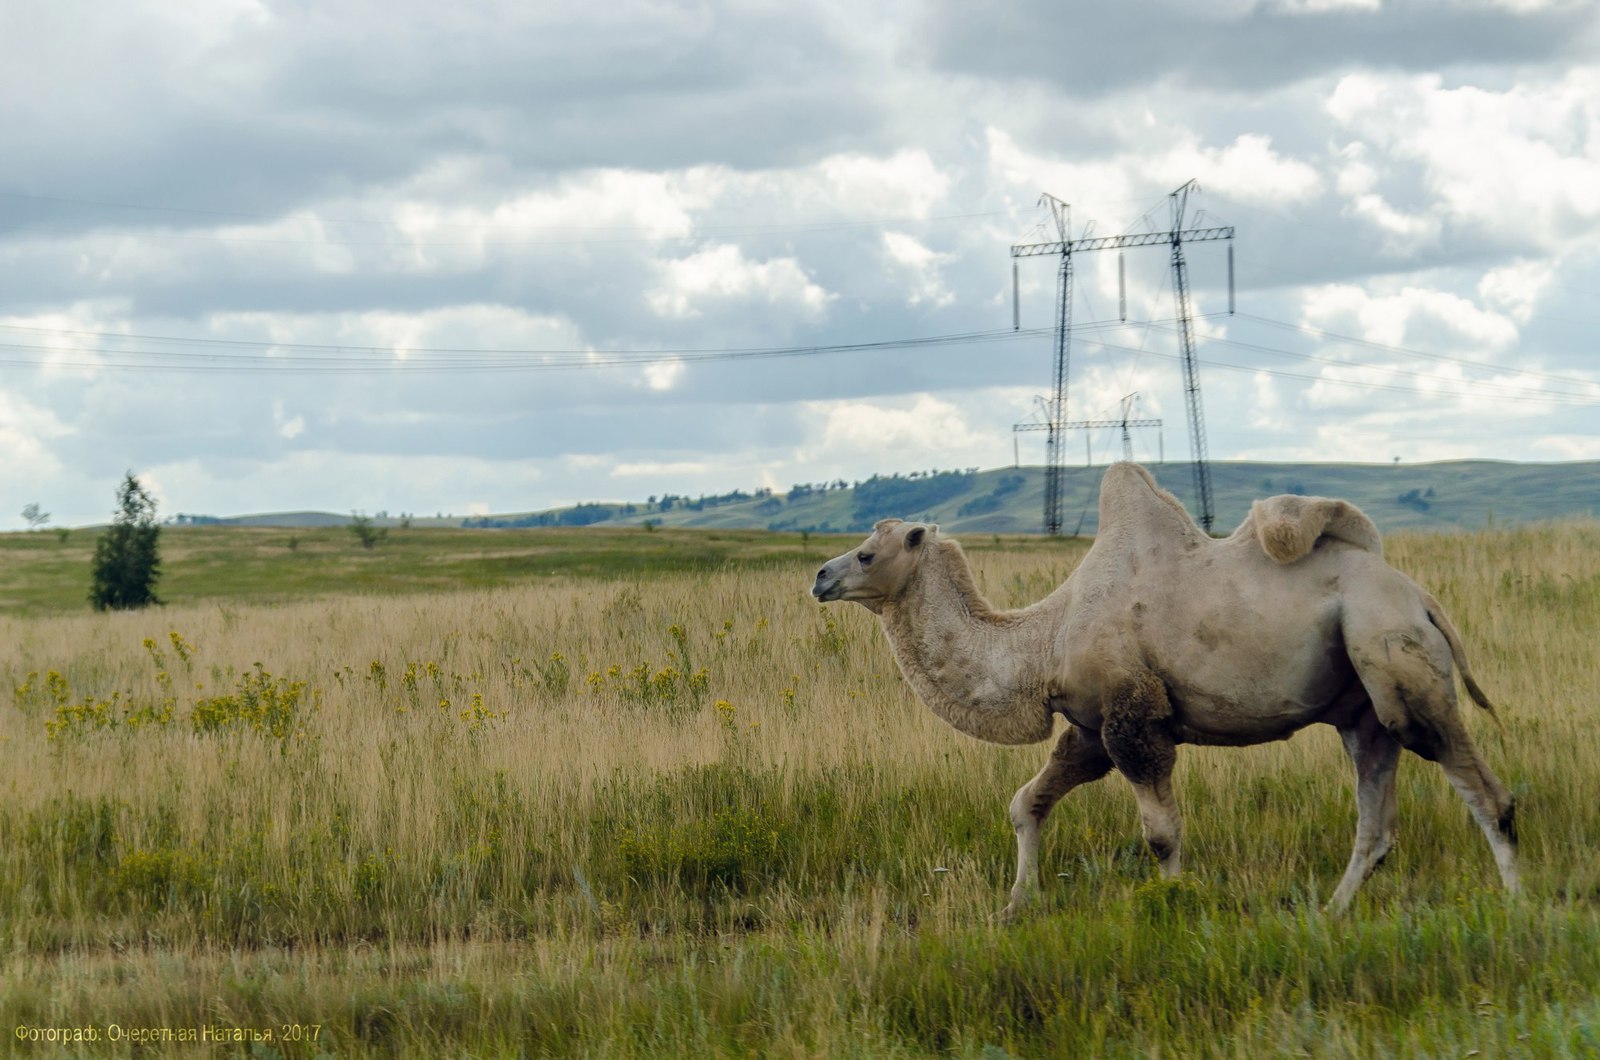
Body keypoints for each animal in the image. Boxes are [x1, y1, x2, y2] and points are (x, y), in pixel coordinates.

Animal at [806, 464, 1516, 922]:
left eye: (868, 553)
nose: (819, 576)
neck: (1044, 639)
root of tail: (1421, 598)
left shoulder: (1133, 716)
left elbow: (1162, 834)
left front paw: (1174, 905)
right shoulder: (1090, 727)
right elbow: (1025, 803)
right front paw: (1014, 905)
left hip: (1395, 659)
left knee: (1486, 792)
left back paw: (1517, 907)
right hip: (1363, 706)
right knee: (1376, 820)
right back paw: (1331, 913)